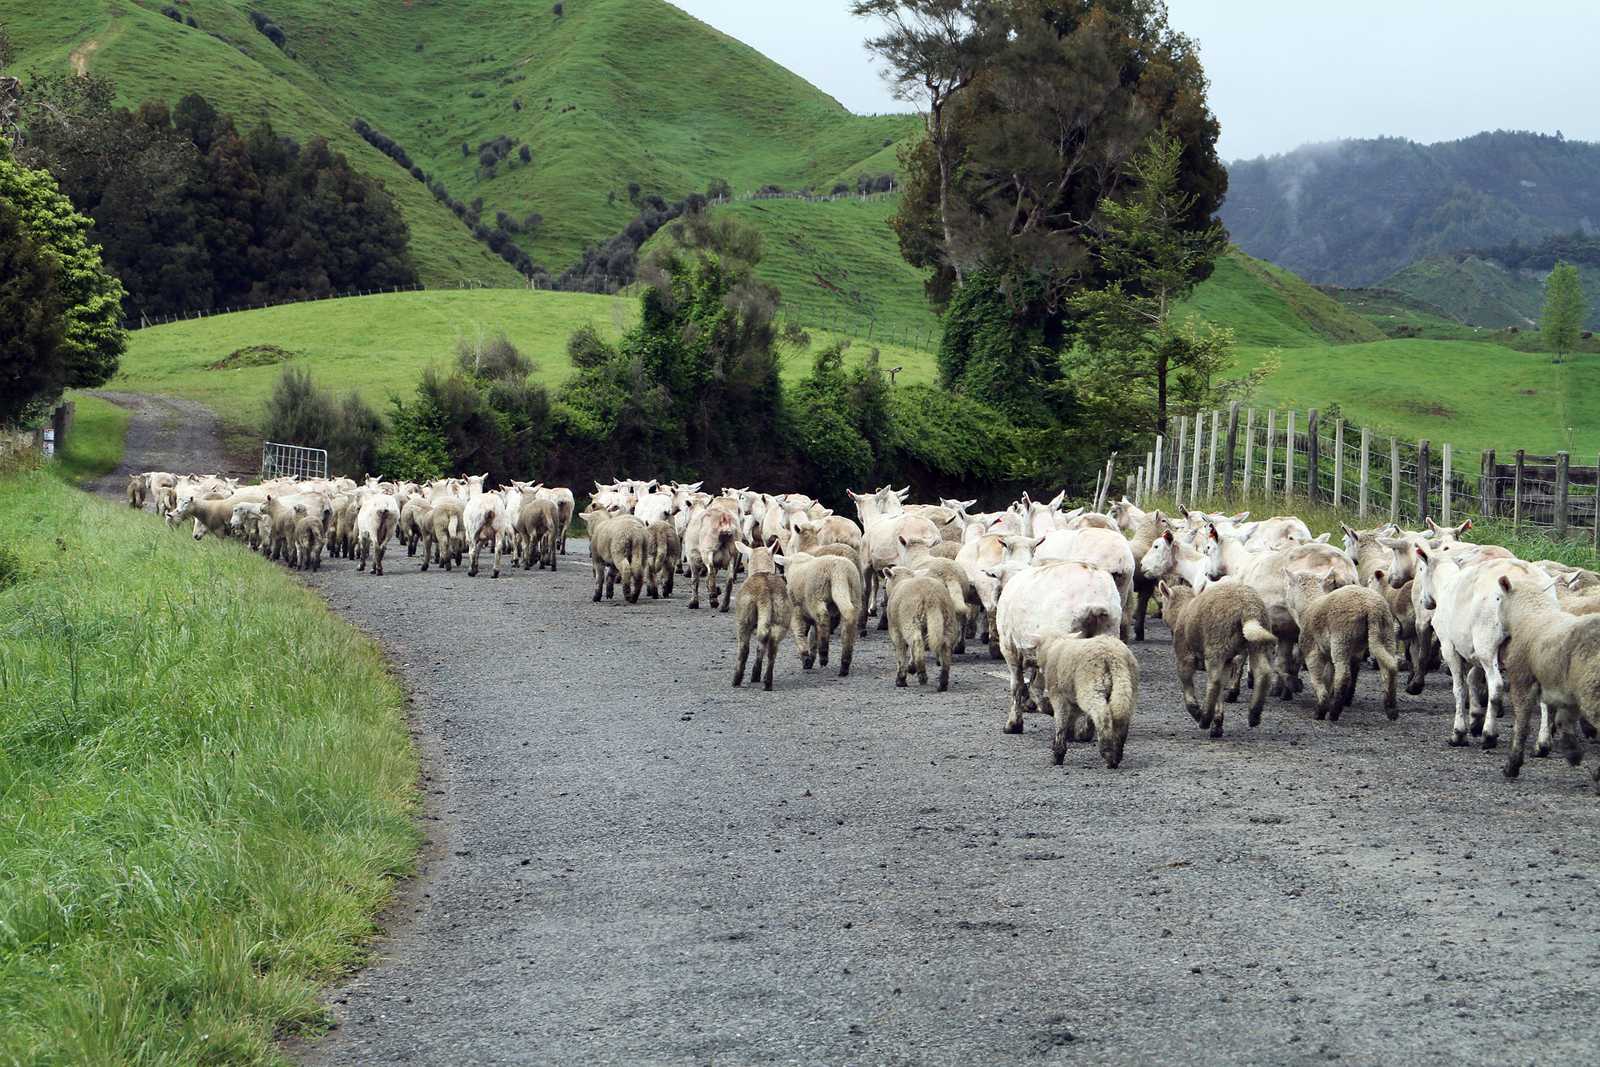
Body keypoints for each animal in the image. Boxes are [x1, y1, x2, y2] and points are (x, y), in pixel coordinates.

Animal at [732, 544, 791, 691]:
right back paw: (766, 681)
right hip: (780, 620)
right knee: (771, 650)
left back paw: (736, 680)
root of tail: (765, 591)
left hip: (744, 620)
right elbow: (760, 649)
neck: (761, 570)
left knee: (743, 650)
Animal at [1028, 632, 1138, 768]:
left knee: (1101, 714)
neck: (1054, 647)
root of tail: (1111, 656)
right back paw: (1117, 752)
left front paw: (1058, 754)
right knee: (1122, 715)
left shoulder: (1059, 696)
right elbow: (1070, 719)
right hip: (1126, 686)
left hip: (1090, 686)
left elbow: (1061, 722)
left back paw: (1108, 753)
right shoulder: (1073, 699)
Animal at [1159, 580, 1278, 736]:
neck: (1181, 611)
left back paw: (1204, 719)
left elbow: (1188, 684)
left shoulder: (1184, 656)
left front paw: (1197, 712)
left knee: (1214, 681)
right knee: (1263, 673)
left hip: (1217, 643)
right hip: (1257, 641)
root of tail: (1248, 607)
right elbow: (1222, 686)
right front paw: (1218, 723)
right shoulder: (1227, 661)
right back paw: (1254, 714)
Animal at [1295, 580, 1400, 721]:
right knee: (1389, 670)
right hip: (1386, 633)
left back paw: (1334, 712)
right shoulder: (1332, 657)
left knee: (1343, 675)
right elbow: (1328, 678)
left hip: (1342, 639)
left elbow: (1317, 678)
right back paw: (1391, 709)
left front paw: (1321, 708)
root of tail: (1372, 608)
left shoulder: (1312, 650)